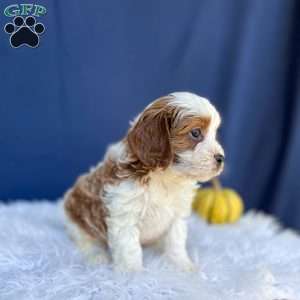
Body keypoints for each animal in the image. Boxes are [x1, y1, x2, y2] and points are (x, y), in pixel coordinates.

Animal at [63, 91, 223, 272]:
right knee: (86, 242)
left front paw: (183, 266)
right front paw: (133, 274)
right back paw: (97, 257)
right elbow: (129, 250)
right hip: (76, 218)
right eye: (195, 133)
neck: (166, 177)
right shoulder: (125, 214)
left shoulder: (177, 215)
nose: (221, 158)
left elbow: (176, 241)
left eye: (214, 134)